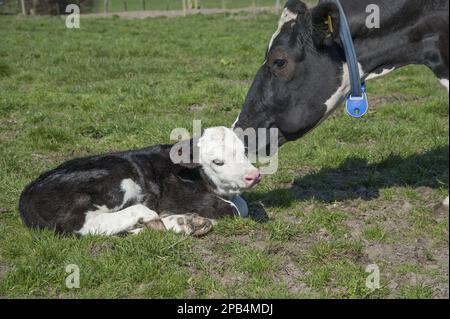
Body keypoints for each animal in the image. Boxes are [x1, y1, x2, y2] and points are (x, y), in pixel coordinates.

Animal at [19, 127, 262, 238]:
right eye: (218, 161)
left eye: (244, 152)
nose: (254, 175)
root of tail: (27, 194)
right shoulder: (178, 196)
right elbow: (234, 209)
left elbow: (243, 204)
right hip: (118, 180)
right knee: (82, 225)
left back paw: (184, 223)